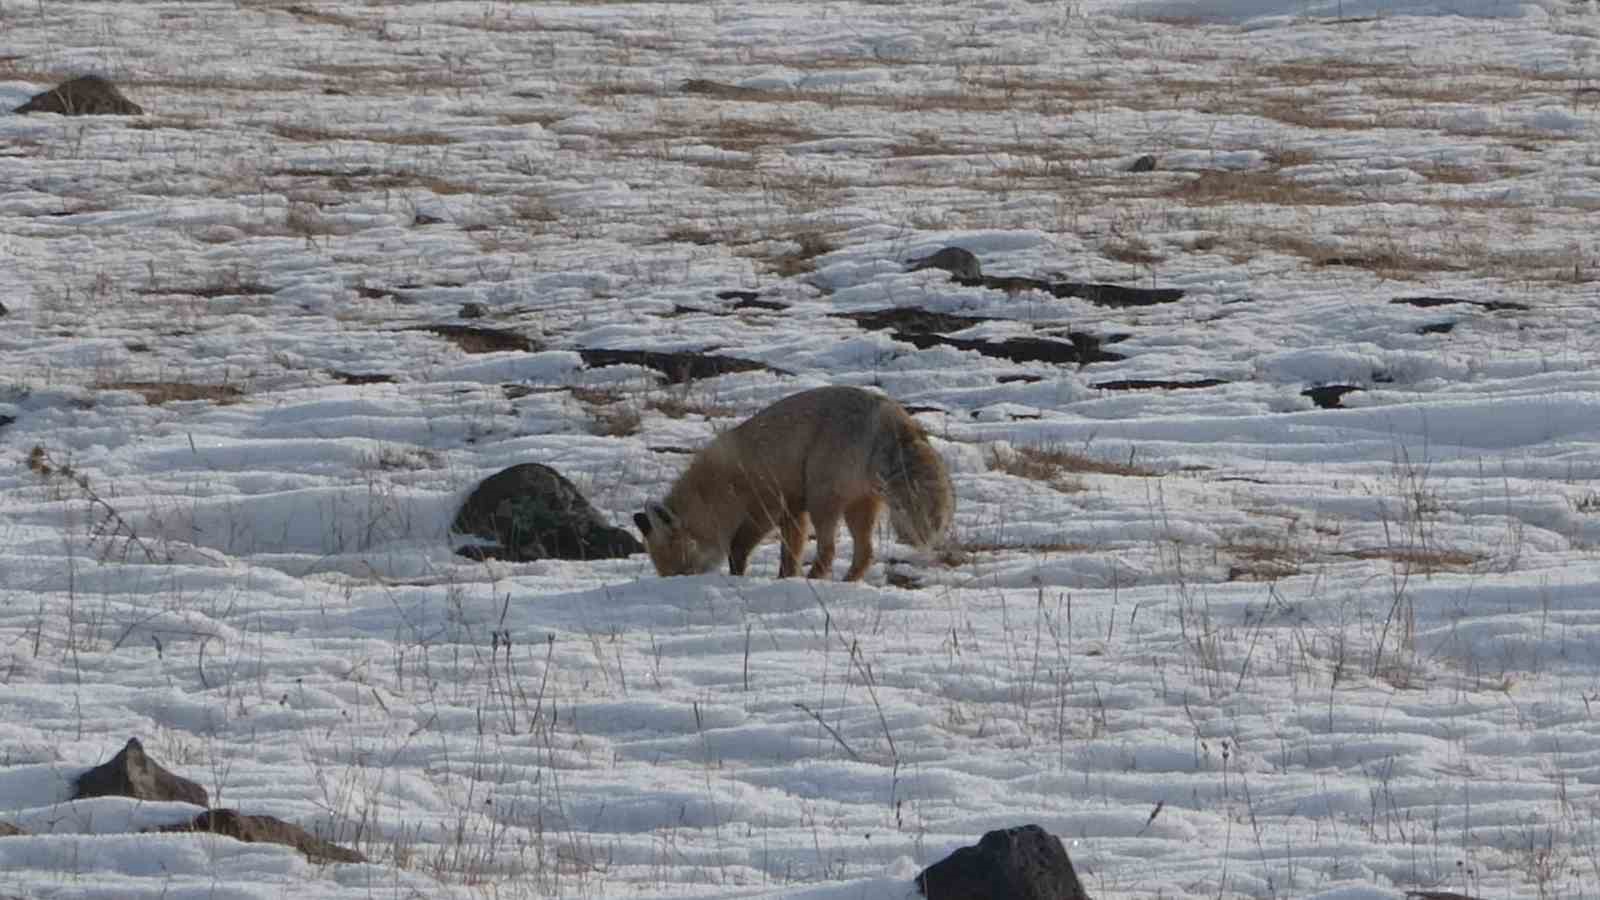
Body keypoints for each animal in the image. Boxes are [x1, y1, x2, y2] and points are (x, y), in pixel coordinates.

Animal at [630, 381, 947, 576]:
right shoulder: (794, 510)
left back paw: (814, 580)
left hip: (824, 502)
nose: (680, 583)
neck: (715, 488)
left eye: (680, 568)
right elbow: (789, 557)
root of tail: (890, 412)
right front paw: (785, 579)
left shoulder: (767, 506)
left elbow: (738, 550)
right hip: (857, 507)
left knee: (829, 552)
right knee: (864, 555)